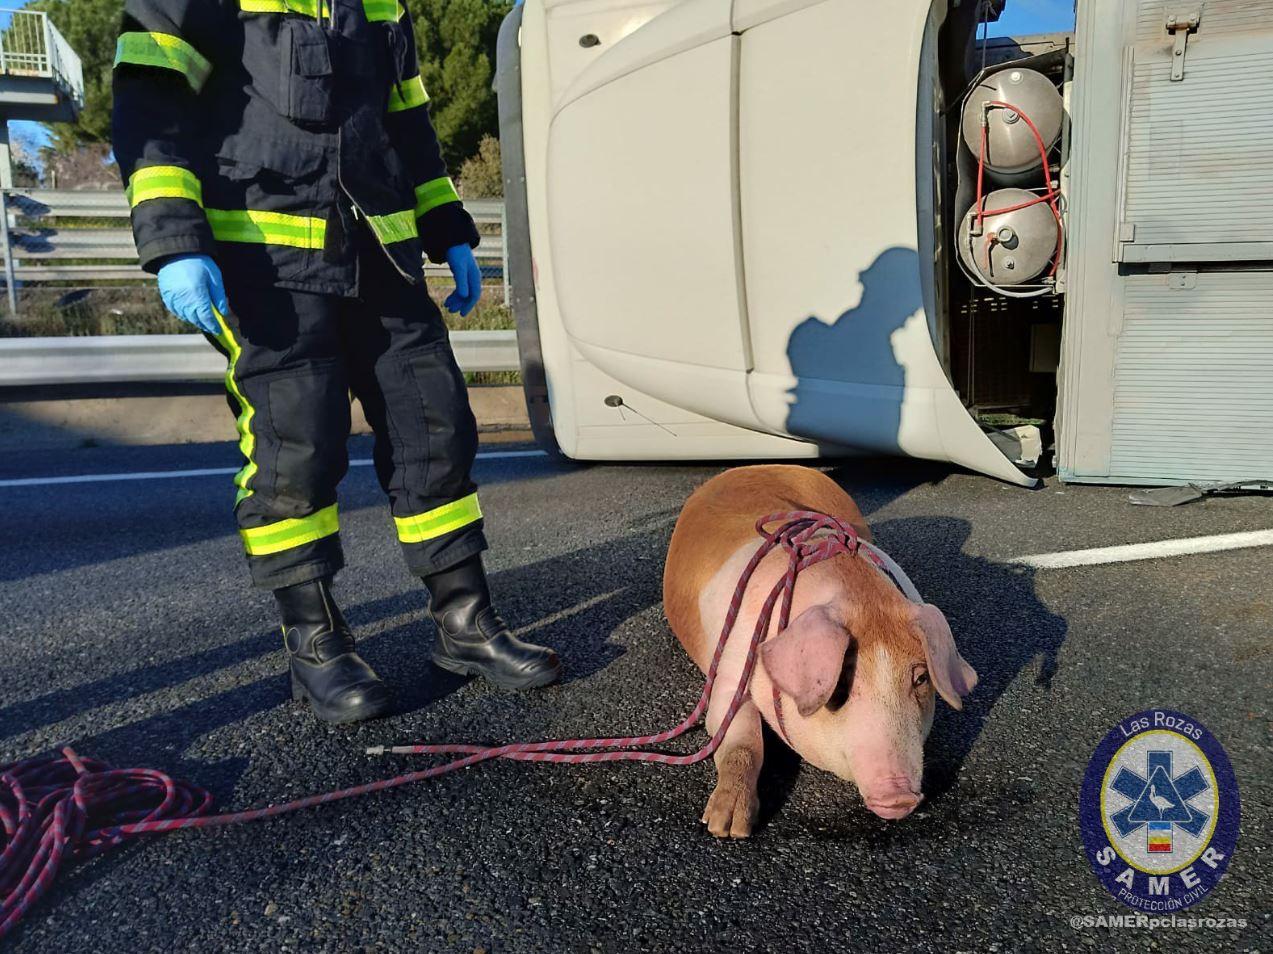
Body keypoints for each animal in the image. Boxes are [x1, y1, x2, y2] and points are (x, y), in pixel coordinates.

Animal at [667, 466, 972, 835]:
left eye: (921, 679)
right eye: (841, 684)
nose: (899, 797)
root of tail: (745, 468)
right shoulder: (729, 671)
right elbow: (743, 742)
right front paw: (728, 827)